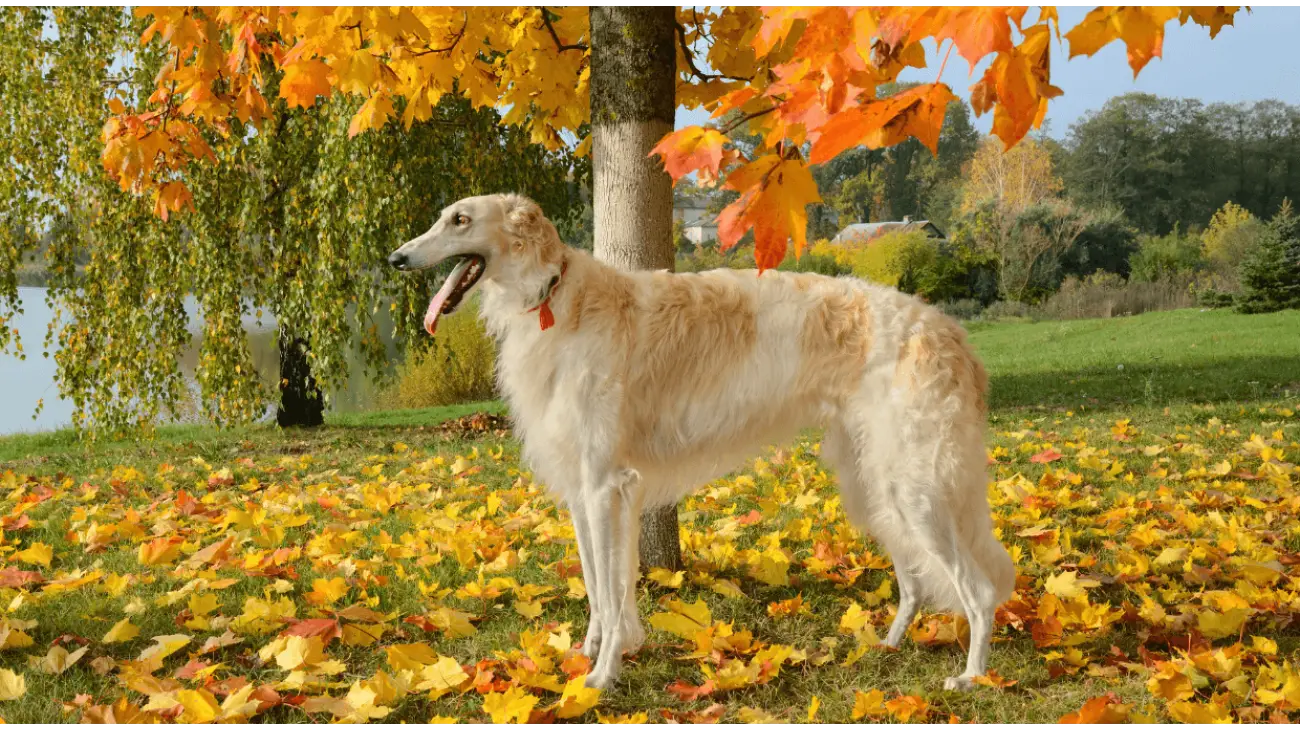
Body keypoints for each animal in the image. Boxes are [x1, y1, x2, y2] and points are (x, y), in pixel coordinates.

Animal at [384, 192, 1013, 685]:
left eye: (461, 219)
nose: (396, 257)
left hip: (915, 486)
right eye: (443, 216)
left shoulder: (604, 485)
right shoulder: (588, 490)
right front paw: (593, 652)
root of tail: (950, 332)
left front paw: (601, 676)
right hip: (874, 484)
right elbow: (598, 586)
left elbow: (609, 591)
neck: (557, 298)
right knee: (914, 579)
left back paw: (973, 677)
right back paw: (888, 643)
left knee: (979, 591)